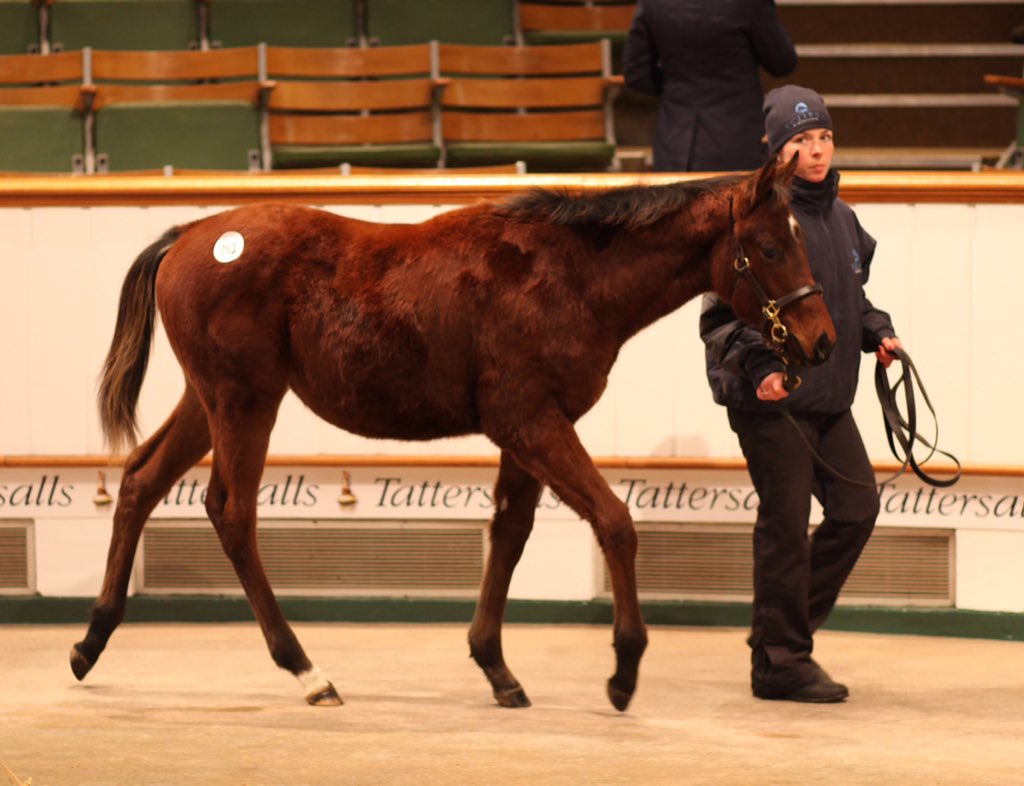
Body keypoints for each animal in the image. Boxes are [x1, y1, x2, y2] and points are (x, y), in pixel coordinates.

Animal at [71, 156, 835, 712]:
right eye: (771, 246)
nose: (821, 341)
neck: (569, 275)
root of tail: (189, 235)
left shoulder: (528, 431)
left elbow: (509, 533)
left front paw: (497, 668)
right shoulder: (530, 420)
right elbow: (614, 522)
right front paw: (623, 672)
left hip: (210, 402)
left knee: (140, 481)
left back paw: (90, 641)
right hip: (243, 402)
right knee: (231, 514)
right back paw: (307, 671)